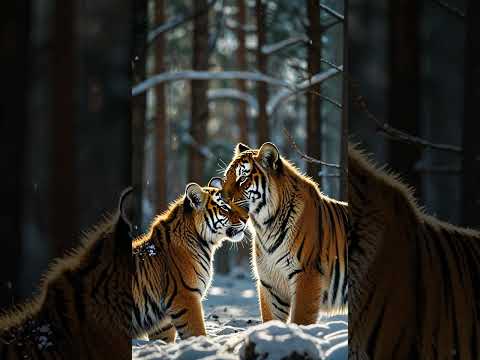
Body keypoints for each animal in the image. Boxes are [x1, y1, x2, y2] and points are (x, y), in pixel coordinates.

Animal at [131, 179, 248, 342]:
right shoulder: (185, 297)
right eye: (225, 207)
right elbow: (196, 331)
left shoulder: (163, 321)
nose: (247, 218)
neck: (205, 244)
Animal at [219, 142, 346, 324]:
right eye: (226, 178)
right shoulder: (270, 283)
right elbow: (271, 319)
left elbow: (300, 319)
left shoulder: (306, 276)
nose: (220, 198)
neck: (265, 227)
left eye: (242, 178)